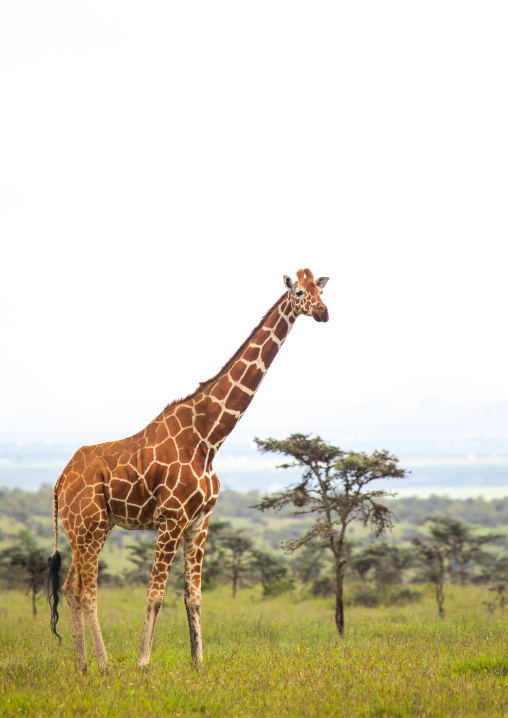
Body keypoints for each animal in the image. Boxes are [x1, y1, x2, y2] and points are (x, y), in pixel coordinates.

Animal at [47, 268, 329, 673]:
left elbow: (193, 597)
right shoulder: (172, 518)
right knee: (87, 591)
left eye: (321, 291)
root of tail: (59, 481)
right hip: (88, 526)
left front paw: (199, 665)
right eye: (301, 293)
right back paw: (105, 666)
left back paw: (84, 667)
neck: (208, 438)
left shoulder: (200, 521)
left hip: (90, 528)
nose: (323, 313)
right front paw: (143, 664)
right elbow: (154, 594)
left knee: (71, 588)